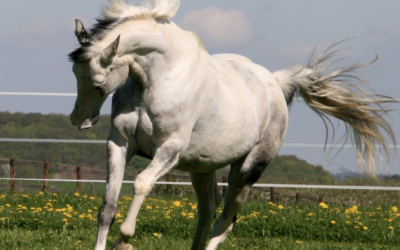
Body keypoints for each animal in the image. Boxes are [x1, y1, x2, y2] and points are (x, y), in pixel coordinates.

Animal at [69, 0, 396, 250]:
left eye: (98, 85)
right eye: (74, 73)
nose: (79, 120)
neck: (157, 80)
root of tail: (276, 82)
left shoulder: (170, 150)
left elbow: (142, 183)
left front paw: (124, 242)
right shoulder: (119, 144)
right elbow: (107, 206)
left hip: (247, 169)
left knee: (225, 221)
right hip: (202, 169)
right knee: (207, 213)